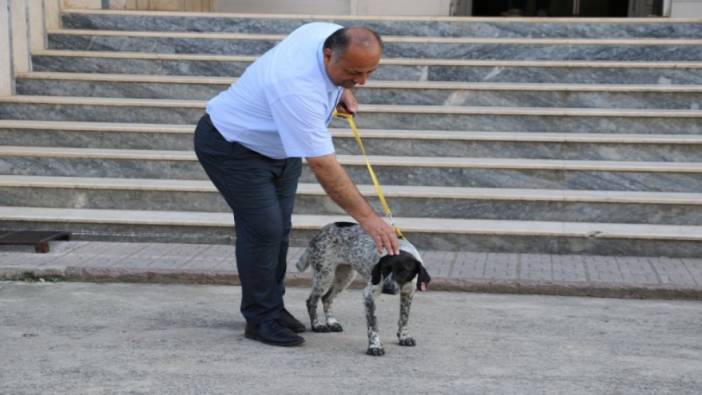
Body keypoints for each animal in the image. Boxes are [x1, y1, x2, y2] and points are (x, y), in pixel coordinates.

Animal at [296, 223, 432, 356]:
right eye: (384, 269)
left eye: (404, 271)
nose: (387, 288)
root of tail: (320, 232)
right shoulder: (369, 295)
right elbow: (373, 325)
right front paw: (375, 346)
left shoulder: (408, 293)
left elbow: (404, 318)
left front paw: (404, 337)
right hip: (325, 276)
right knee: (311, 301)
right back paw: (317, 325)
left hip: (345, 277)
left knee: (326, 298)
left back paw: (332, 322)